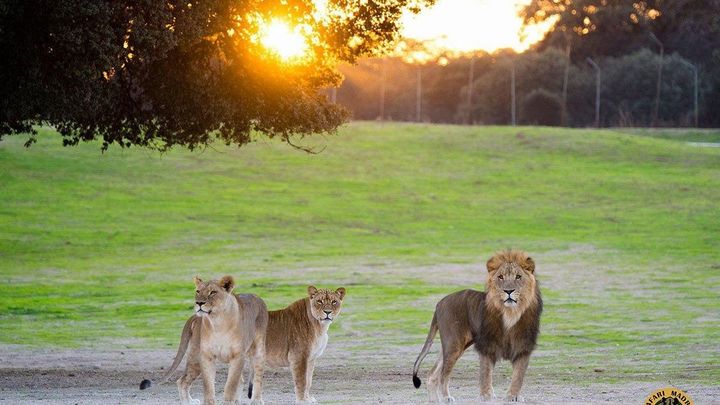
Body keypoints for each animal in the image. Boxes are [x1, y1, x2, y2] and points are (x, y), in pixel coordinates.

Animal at [140, 275, 268, 405]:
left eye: (213, 292)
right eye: (198, 291)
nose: (199, 303)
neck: (217, 322)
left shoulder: (237, 356)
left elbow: (231, 384)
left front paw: (229, 402)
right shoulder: (206, 355)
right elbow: (208, 385)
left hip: (258, 350)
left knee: (257, 377)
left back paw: (256, 400)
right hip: (195, 356)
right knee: (182, 381)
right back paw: (189, 402)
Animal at [412, 250, 543, 402]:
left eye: (518, 277)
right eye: (500, 277)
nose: (508, 291)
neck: (511, 313)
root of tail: (439, 303)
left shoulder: (523, 346)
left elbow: (518, 375)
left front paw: (513, 396)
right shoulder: (487, 345)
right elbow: (486, 373)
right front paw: (487, 396)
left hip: (454, 345)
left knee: (432, 373)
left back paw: (434, 400)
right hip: (453, 345)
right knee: (444, 374)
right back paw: (446, 397)